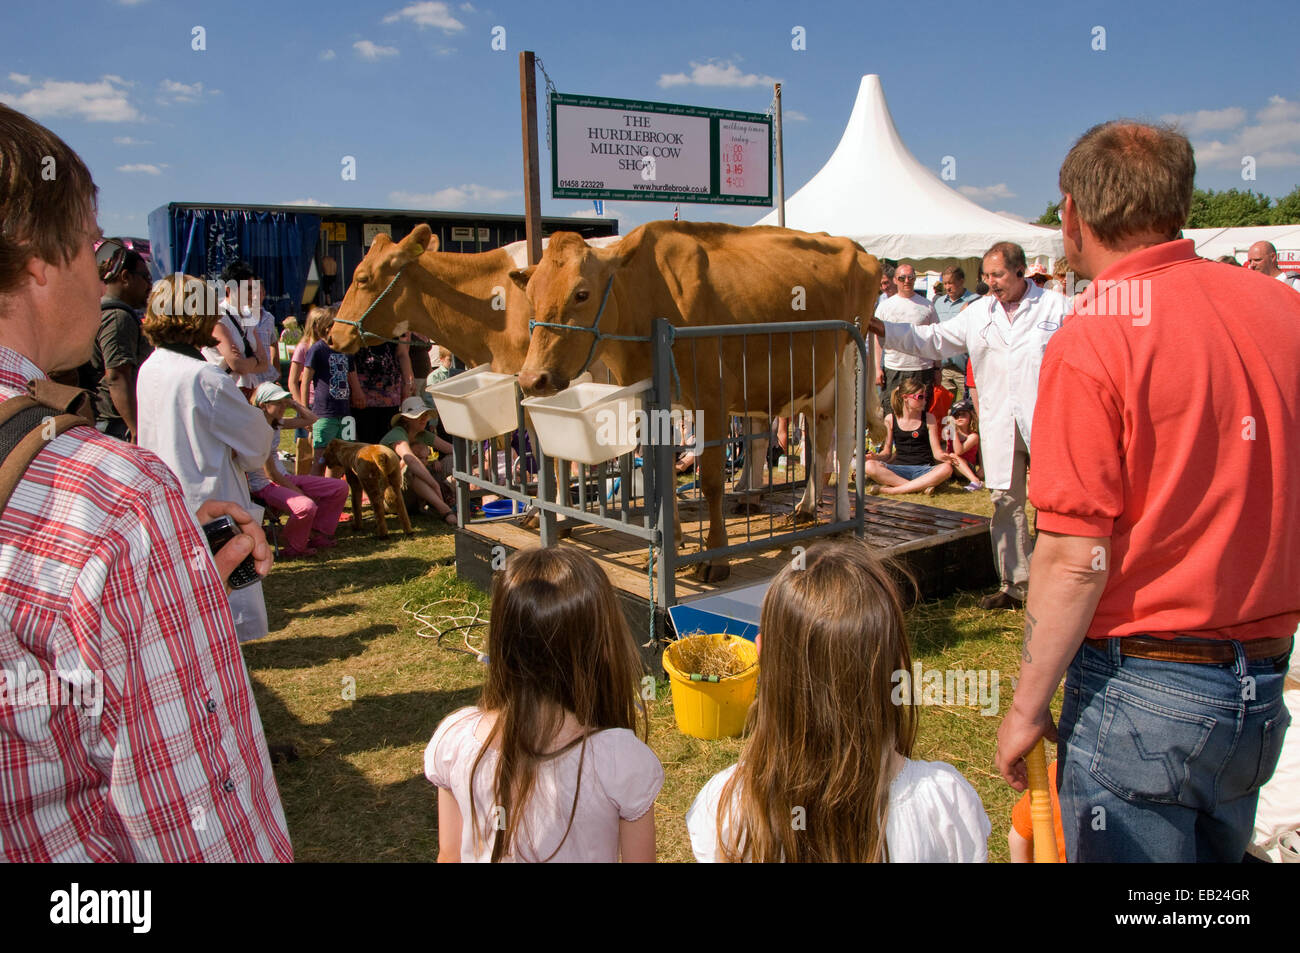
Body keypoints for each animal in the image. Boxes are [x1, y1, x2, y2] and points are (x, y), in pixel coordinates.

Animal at [509, 219, 883, 582]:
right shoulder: (654, 406)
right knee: (817, 442)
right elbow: (664, 480)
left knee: (844, 445)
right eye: (531, 296)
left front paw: (715, 557)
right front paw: (670, 548)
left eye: (582, 293)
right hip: (811, 384)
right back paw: (804, 507)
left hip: (849, 362)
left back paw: (841, 520)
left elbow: (713, 482)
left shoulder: (712, 397)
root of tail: (858, 248)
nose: (531, 378)